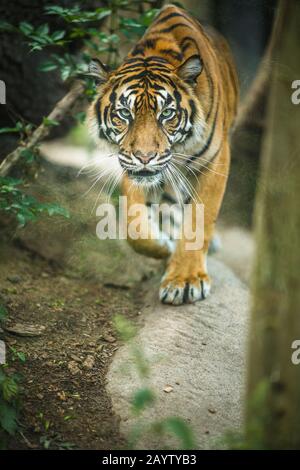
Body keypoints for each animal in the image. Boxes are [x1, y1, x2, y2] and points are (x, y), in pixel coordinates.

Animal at [86, 4, 239, 304]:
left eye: (166, 113)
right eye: (125, 113)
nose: (145, 157)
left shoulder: (215, 161)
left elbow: (201, 220)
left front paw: (186, 281)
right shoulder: (133, 167)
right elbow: (135, 227)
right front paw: (164, 245)